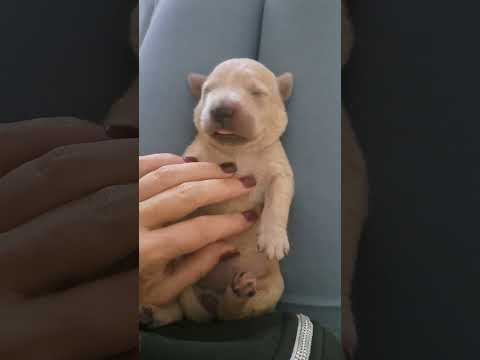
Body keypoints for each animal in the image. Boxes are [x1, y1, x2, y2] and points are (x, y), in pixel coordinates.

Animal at [174, 58, 294, 320]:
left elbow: (278, 199)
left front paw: (273, 239)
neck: (238, 151)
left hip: (272, 287)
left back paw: (238, 292)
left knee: (235, 313)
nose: (221, 110)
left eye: (257, 92)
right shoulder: (194, 155)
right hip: (187, 291)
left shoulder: (280, 170)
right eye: (208, 90)